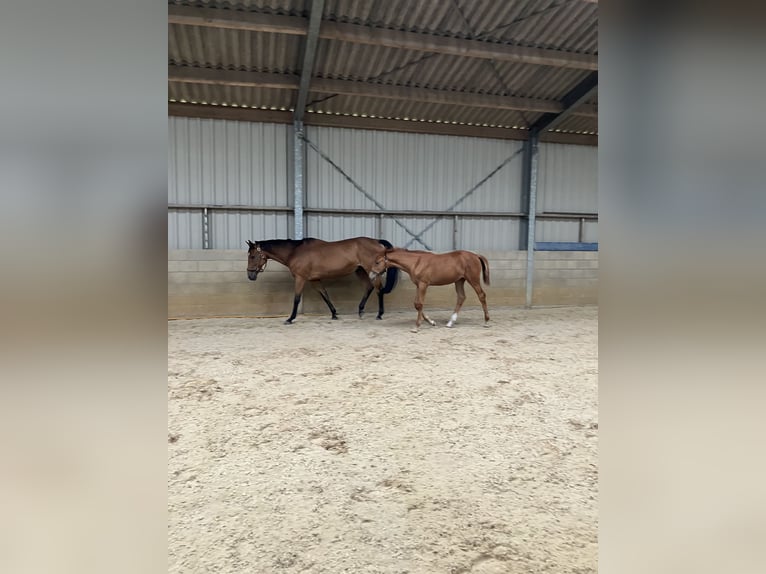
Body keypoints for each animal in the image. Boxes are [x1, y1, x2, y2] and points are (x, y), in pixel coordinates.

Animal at [246, 237, 400, 324]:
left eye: (252, 256)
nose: (250, 276)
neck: (294, 252)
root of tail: (377, 242)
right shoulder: (315, 280)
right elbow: (325, 295)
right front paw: (334, 314)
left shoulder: (300, 278)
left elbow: (296, 298)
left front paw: (290, 319)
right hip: (360, 271)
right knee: (369, 287)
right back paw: (361, 311)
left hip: (370, 270)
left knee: (379, 289)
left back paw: (379, 314)